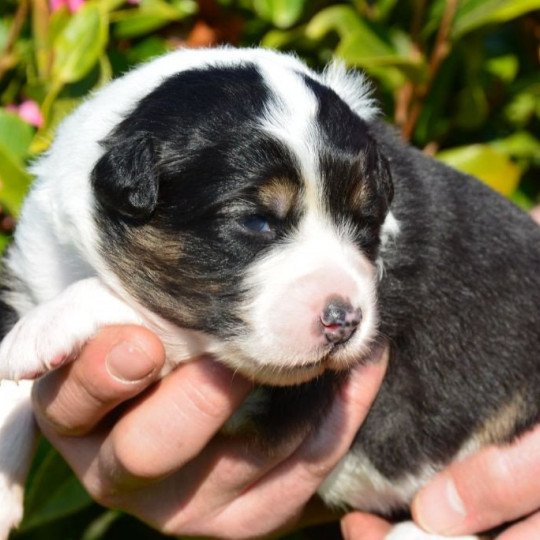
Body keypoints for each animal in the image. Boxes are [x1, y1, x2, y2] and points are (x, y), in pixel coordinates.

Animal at [1, 47, 540, 540]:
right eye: (257, 221)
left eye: (367, 219)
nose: (344, 320)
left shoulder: (274, 384)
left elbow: (154, 317)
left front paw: (39, 331)